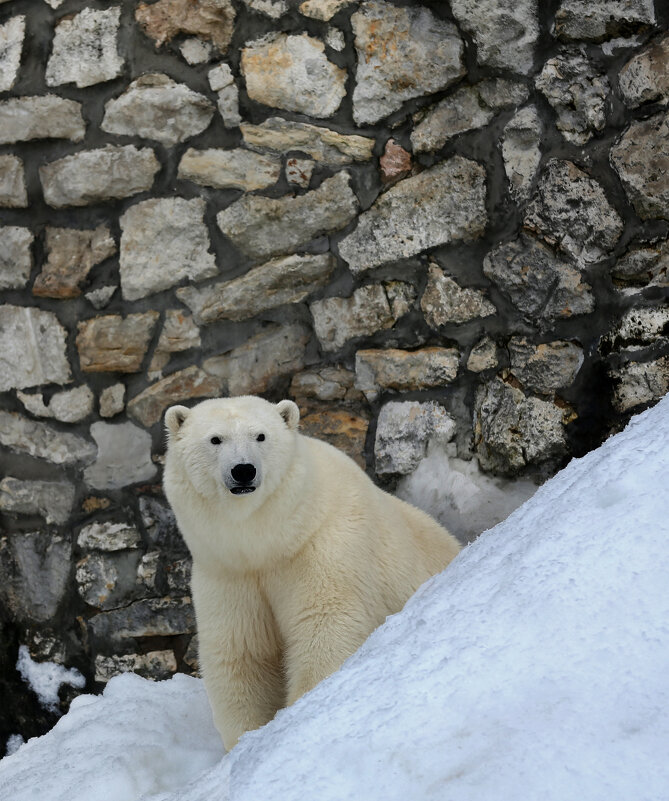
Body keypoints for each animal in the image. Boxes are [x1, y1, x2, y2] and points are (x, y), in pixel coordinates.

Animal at [164, 396, 462, 752]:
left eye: (260, 436)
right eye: (215, 439)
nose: (243, 470)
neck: (270, 542)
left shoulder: (324, 544)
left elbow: (325, 624)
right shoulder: (228, 572)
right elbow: (242, 651)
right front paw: (246, 738)